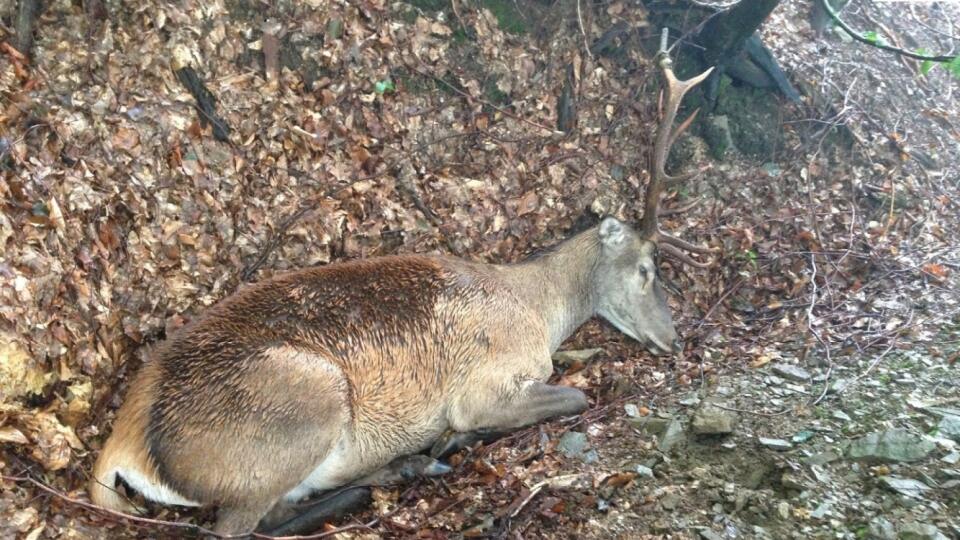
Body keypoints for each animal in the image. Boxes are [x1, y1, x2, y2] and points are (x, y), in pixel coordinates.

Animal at [90, 32, 716, 536]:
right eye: (648, 270)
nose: (675, 338)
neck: (537, 308)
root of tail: (124, 444)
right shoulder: (484, 382)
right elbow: (573, 395)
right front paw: (452, 438)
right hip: (304, 401)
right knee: (244, 527)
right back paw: (409, 464)